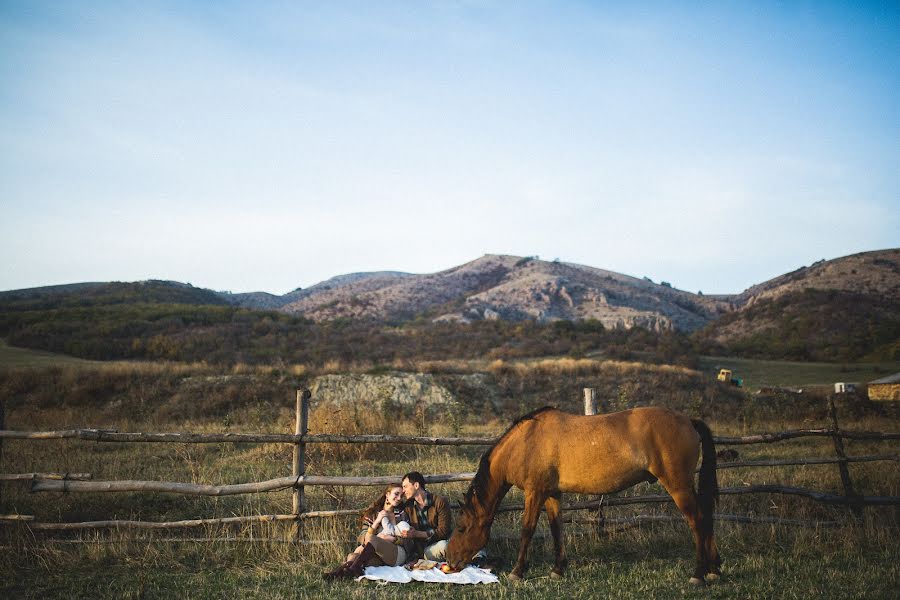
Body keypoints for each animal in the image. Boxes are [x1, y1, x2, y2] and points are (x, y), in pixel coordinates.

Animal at [446, 406, 720, 584]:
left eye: (460, 527)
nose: (449, 560)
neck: (525, 442)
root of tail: (688, 420)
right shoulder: (552, 494)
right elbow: (556, 529)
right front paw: (557, 570)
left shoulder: (535, 493)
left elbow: (527, 530)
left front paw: (517, 572)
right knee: (707, 517)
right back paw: (714, 569)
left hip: (678, 486)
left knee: (698, 521)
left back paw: (698, 574)